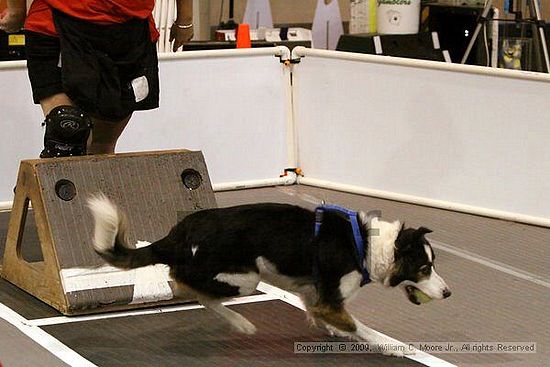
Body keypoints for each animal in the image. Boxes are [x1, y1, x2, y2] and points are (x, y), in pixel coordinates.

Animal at [88, 197, 450, 358]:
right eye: (424, 269)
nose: (448, 294)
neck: (365, 246)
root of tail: (179, 232)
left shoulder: (314, 293)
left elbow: (328, 316)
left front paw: (333, 331)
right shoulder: (330, 299)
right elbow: (359, 325)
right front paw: (392, 346)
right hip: (244, 277)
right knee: (184, 282)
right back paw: (239, 322)